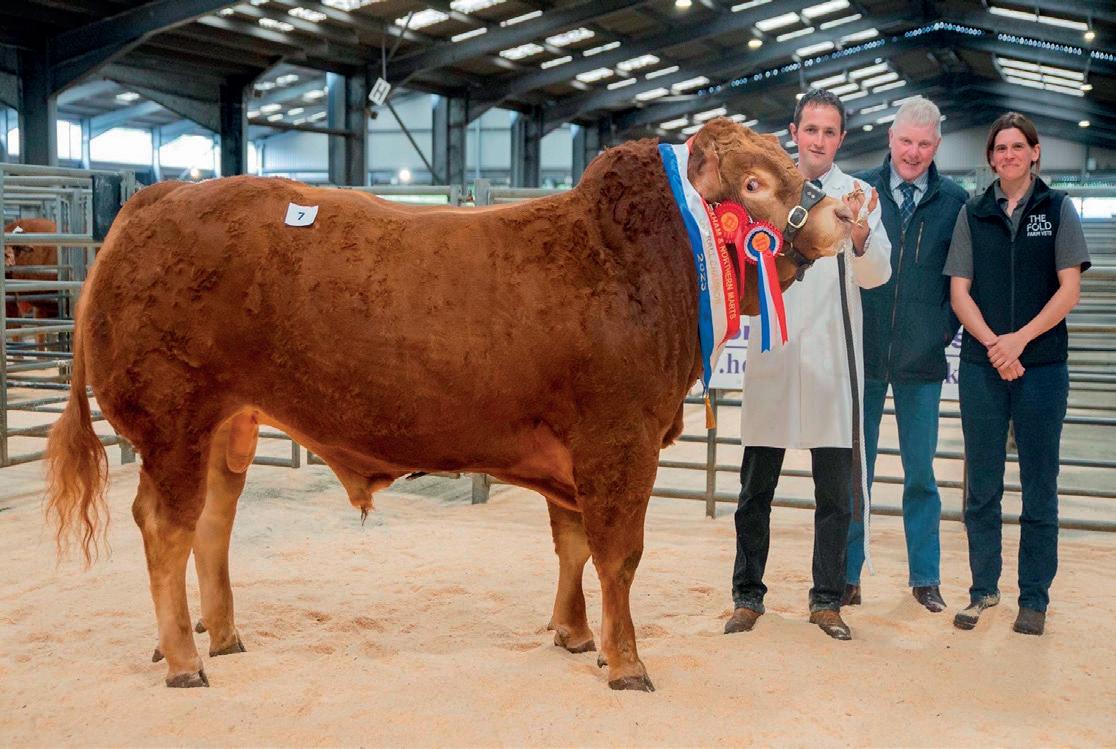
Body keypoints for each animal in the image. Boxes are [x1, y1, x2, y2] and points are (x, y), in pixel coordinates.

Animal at [45, 118, 854, 691]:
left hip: (227, 427)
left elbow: (573, 546)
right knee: (165, 529)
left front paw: (575, 635)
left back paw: (219, 634)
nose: (846, 215)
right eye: (757, 182)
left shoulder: (574, 450)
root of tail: (158, 197)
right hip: (172, 421)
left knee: (211, 526)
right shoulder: (618, 442)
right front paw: (626, 661)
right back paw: (186, 658)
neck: (641, 263)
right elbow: (618, 555)